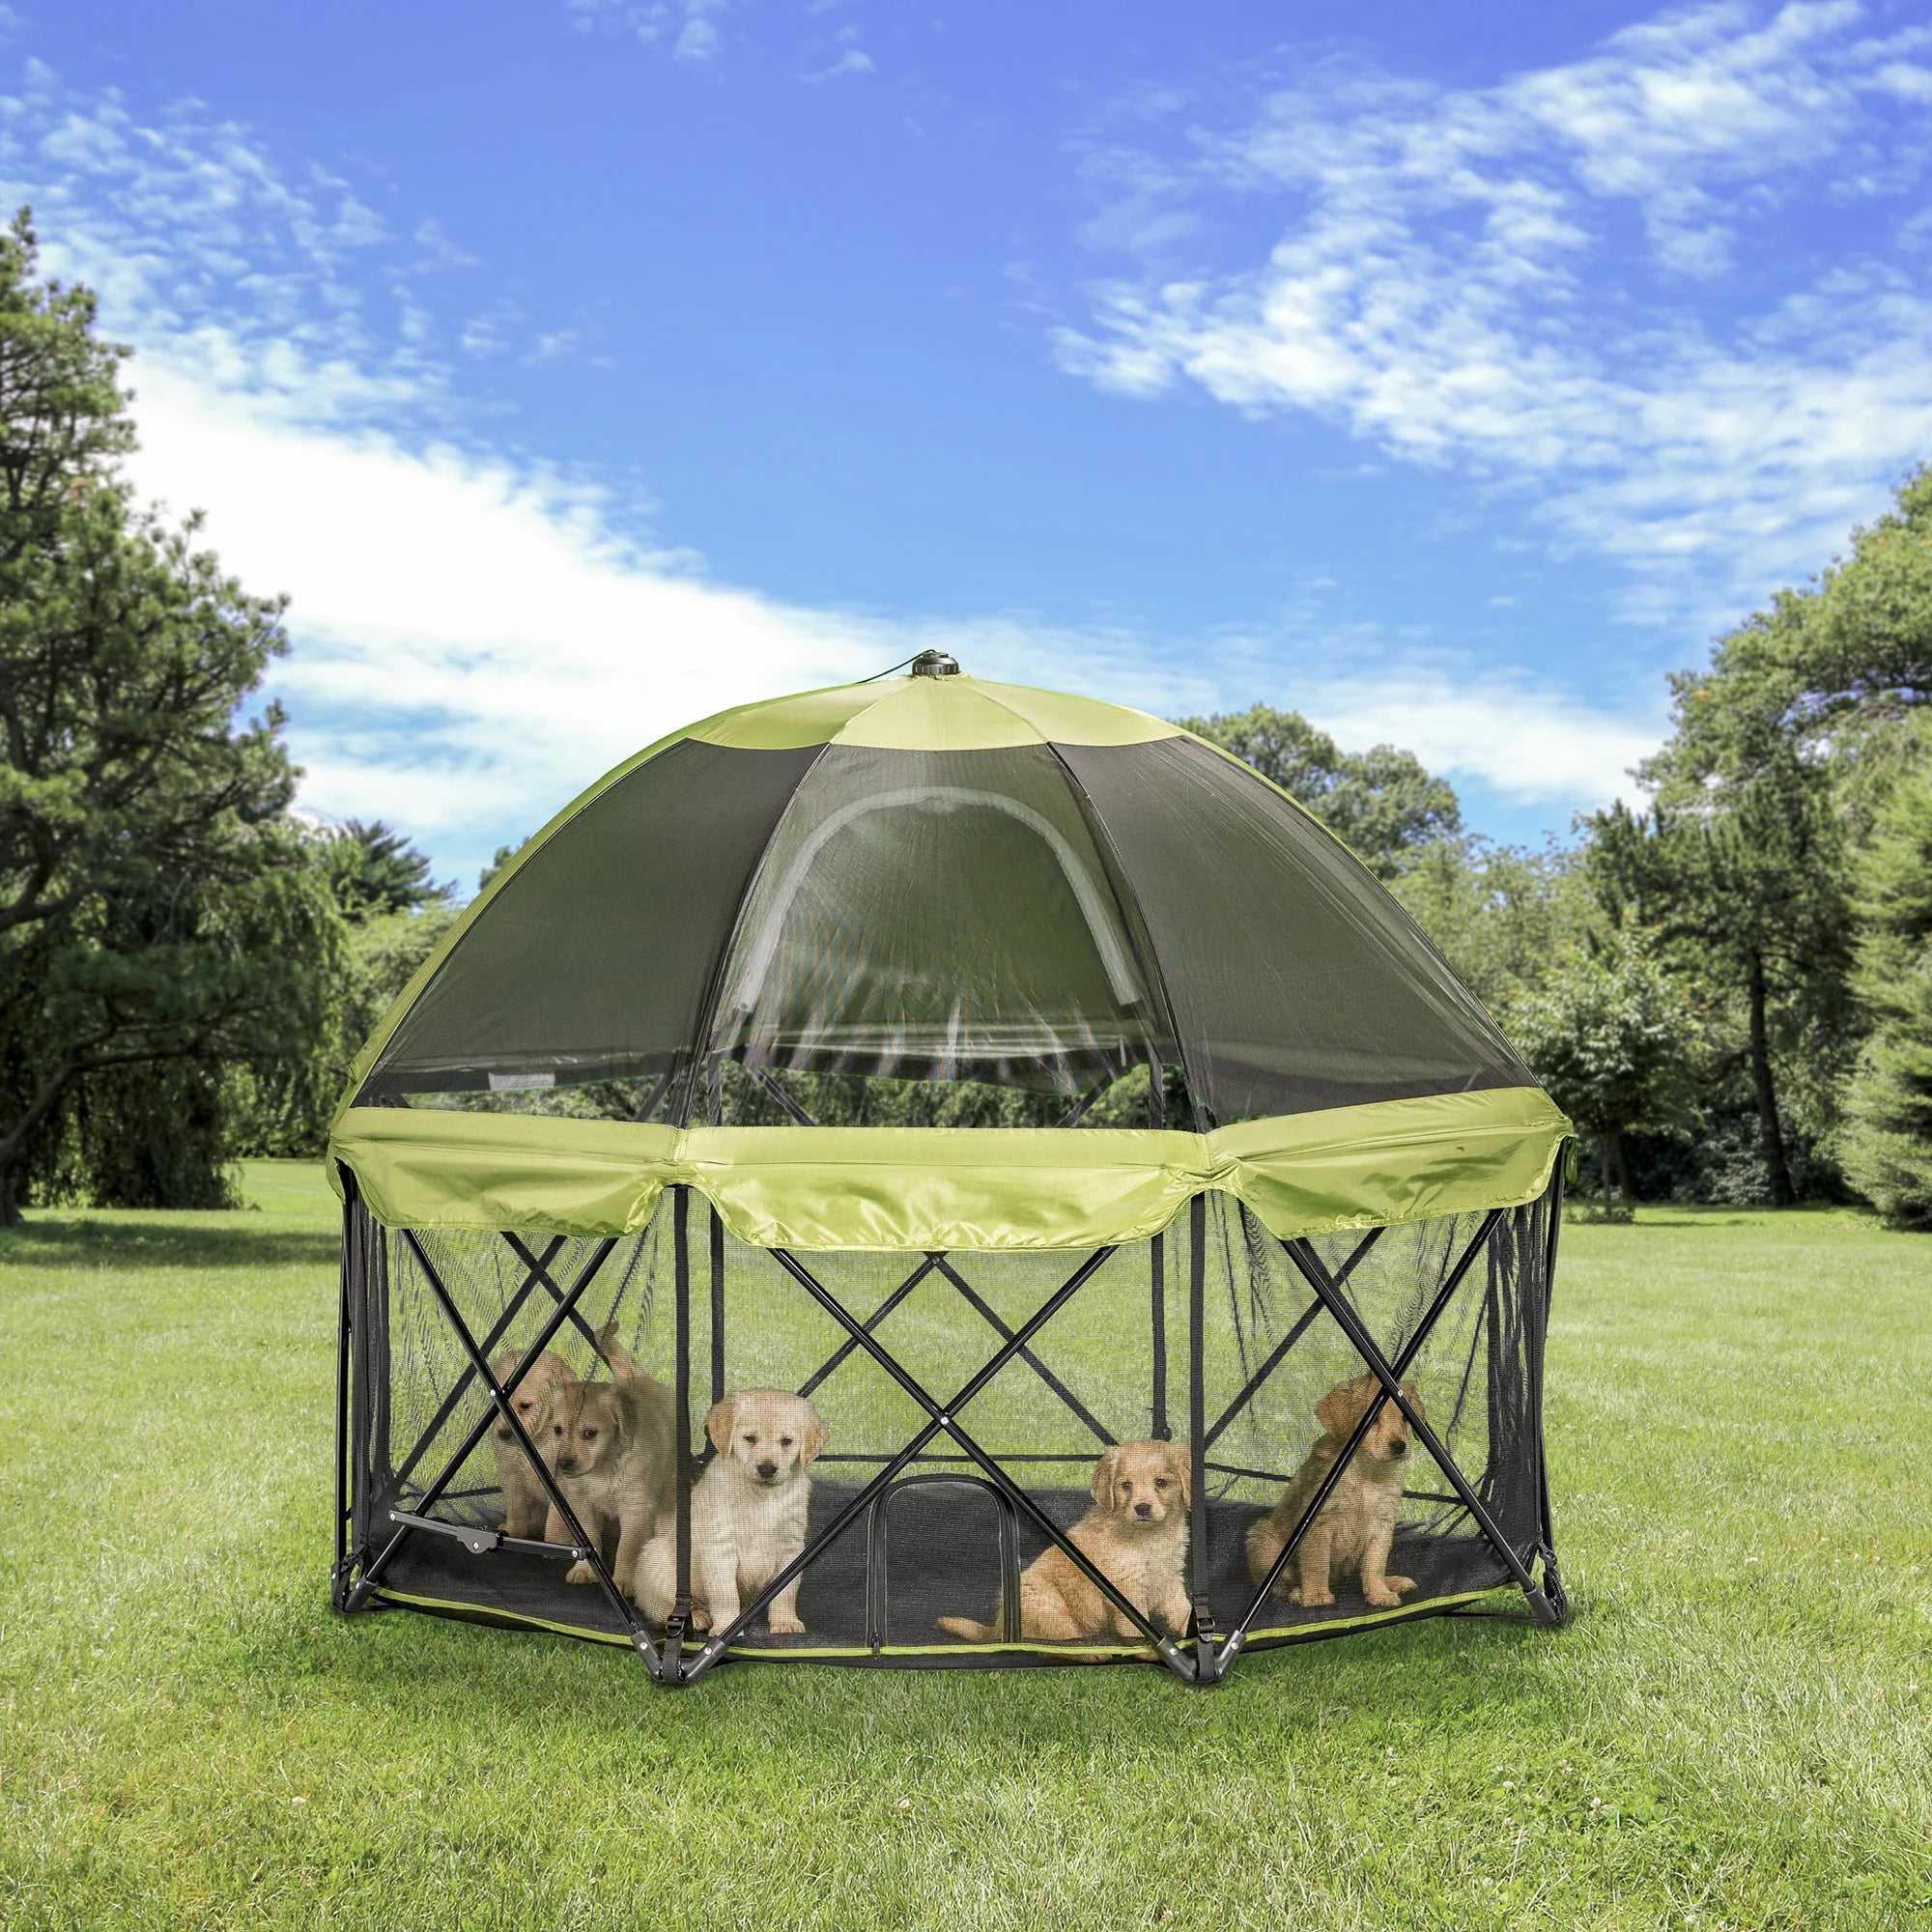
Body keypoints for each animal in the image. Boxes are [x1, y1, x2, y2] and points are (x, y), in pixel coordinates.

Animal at [487, 1345, 568, 1538]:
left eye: (525, 1406)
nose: (502, 1433)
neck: (538, 1439)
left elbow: (556, 1520)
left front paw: (554, 1542)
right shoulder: (512, 1476)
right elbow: (516, 1511)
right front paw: (512, 1530)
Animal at [537, 1337, 680, 1592]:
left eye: (590, 1434)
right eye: (558, 1430)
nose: (563, 1464)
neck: (604, 1468)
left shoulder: (635, 1507)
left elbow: (628, 1548)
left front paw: (624, 1580)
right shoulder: (581, 1502)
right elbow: (591, 1538)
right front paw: (584, 1571)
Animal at [630, 1383, 819, 1638]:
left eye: (786, 1441)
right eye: (750, 1438)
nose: (767, 1469)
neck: (761, 1496)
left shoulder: (791, 1547)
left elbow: (785, 1591)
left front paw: (785, 1622)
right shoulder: (720, 1548)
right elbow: (725, 1595)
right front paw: (726, 1626)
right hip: (657, 1560)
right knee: (663, 1609)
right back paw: (697, 1617)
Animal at [935, 1437, 1190, 1646]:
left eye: (1161, 1482)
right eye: (1126, 1485)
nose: (1142, 1508)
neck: (1151, 1536)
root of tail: (996, 1629)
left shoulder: (1170, 1580)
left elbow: (1184, 1611)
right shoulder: (1127, 1587)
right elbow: (1135, 1630)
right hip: (1049, 1608)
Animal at [1244, 1376, 1430, 1615]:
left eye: (1405, 1419)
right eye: (1373, 1419)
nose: (1400, 1446)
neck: (1365, 1472)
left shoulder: (1382, 1524)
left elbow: (1375, 1564)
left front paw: (1380, 1593)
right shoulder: (1319, 1523)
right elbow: (1317, 1563)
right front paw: (1316, 1595)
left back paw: (1392, 1582)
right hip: (1264, 1540)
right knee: (1281, 1585)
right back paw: (1298, 1592)